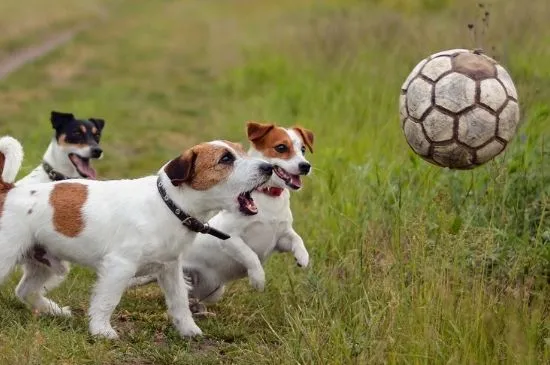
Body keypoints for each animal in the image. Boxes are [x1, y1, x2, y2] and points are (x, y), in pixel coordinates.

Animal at [0, 136, 274, 338]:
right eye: (226, 159)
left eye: (242, 151)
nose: (269, 167)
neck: (169, 205)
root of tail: (9, 190)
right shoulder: (119, 267)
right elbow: (107, 301)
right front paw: (101, 331)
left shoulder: (170, 269)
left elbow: (180, 302)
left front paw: (189, 330)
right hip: (7, 257)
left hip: (46, 263)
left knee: (24, 290)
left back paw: (55, 311)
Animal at [126, 121, 312, 310]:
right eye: (281, 148)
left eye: (303, 149)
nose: (305, 166)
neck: (269, 201)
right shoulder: (230, 238)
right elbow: (250, 255)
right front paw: (258, 279)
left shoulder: (281, 238)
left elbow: (296, 239)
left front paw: (303, 257)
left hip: (213, 291)